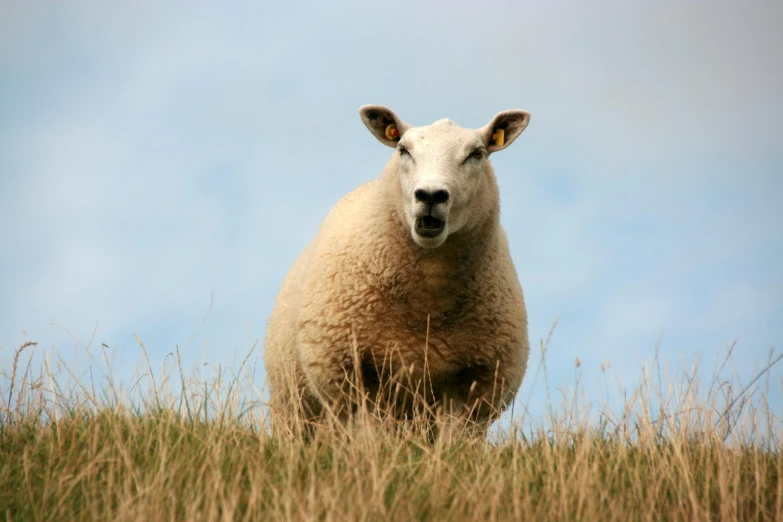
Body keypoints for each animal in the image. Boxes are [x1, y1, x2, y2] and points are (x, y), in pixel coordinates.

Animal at [264, 105, 532, 434]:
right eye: (404, 150)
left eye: (476, 153)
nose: (430, 195)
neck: (428, 308)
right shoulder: (354, 373)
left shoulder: (474, 390)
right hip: (293, 406)